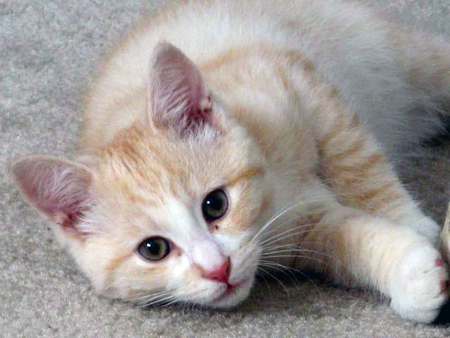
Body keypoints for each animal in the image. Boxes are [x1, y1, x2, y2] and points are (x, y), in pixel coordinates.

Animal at [8, 0, 450, 324]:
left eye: (215, 204)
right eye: (153, 249)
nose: (217, 269)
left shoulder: (295, 80)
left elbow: (354, 159)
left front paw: (413, 222)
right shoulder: (303, 231)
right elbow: (348, 242)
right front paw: (410, 271)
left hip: (400, 54)